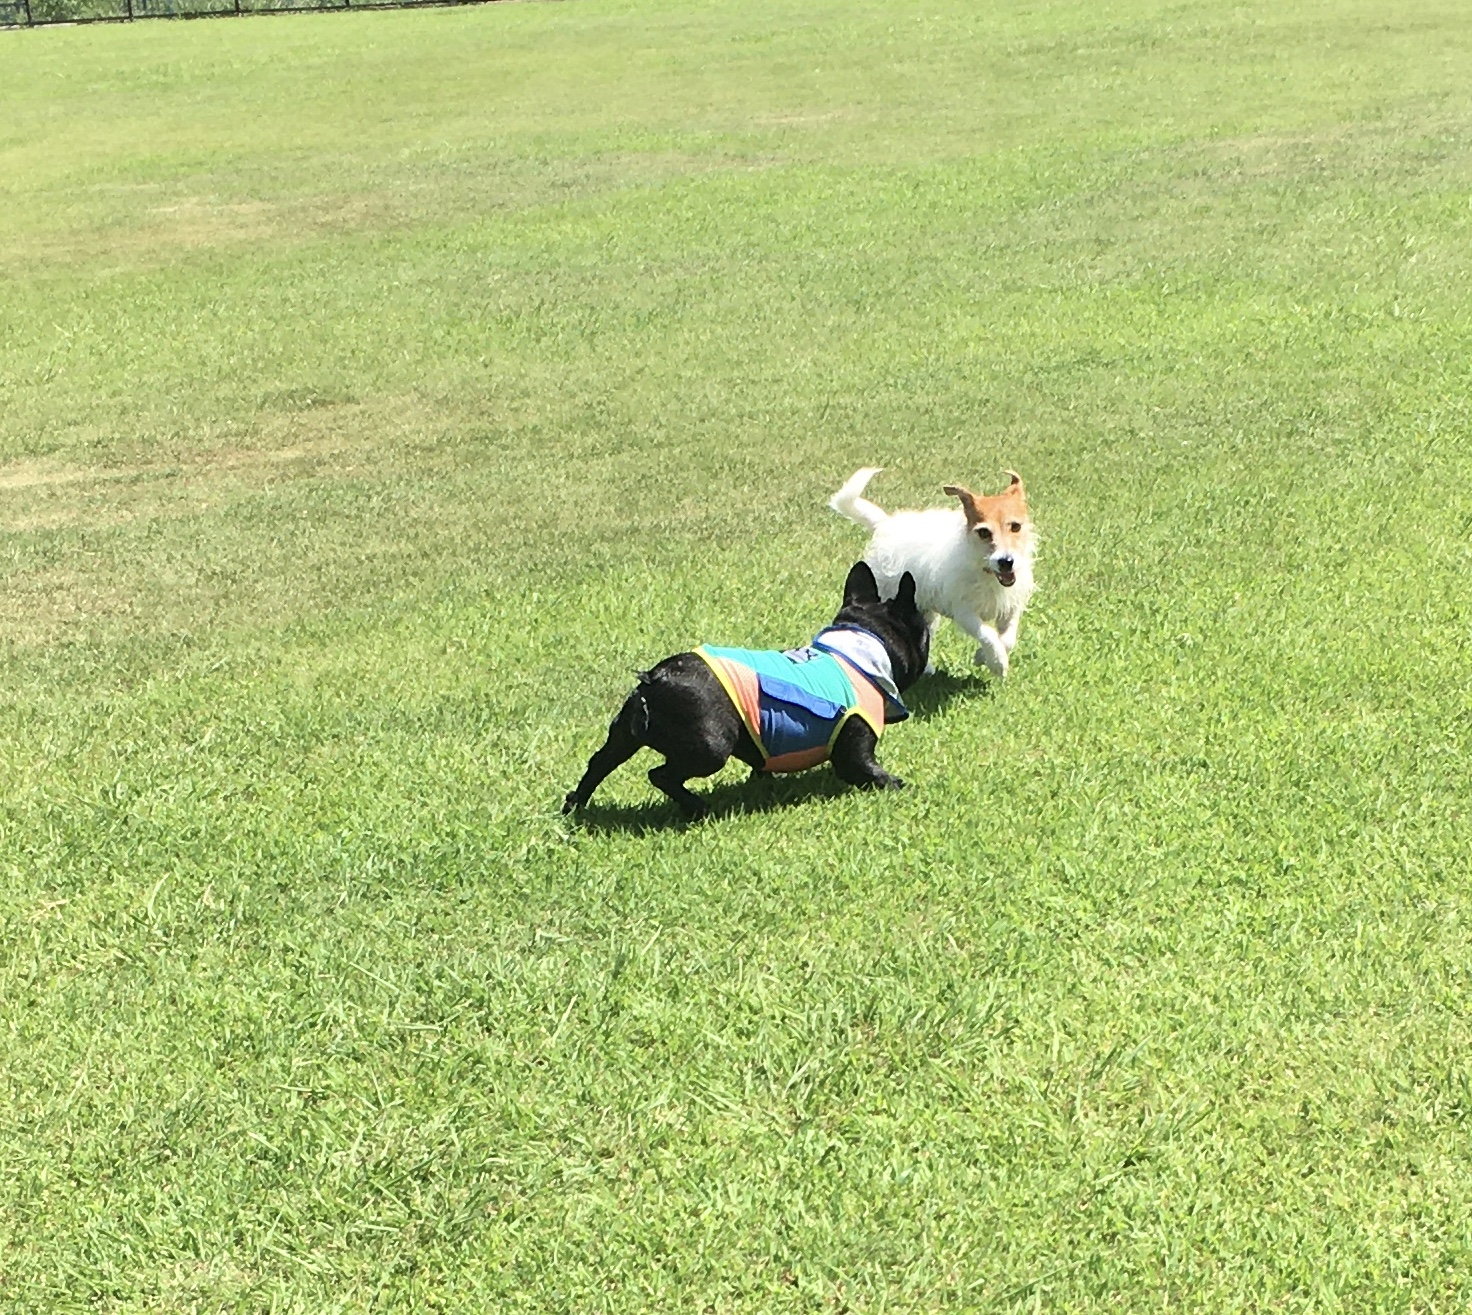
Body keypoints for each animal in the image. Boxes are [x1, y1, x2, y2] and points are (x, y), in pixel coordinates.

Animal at [563, 562, 929, 820]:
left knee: (600, 763)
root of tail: (657, 677)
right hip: (710, 748)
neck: (863, 647)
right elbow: (867, 770)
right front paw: (896, 784)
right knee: (661, 775)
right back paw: (697, 808)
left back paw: (574, 805)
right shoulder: (854, 751)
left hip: (625, 735)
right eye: (925, 633)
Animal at [829, 467, 1035, 679]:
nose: (1006, 562)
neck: (986, 570)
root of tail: (885, 524)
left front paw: (984, 657)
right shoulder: (965, 613)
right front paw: (997, 662)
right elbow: (988, 634)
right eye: (984, 532)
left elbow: (1008, 639)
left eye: (1016, 526)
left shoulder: (1011, 608)